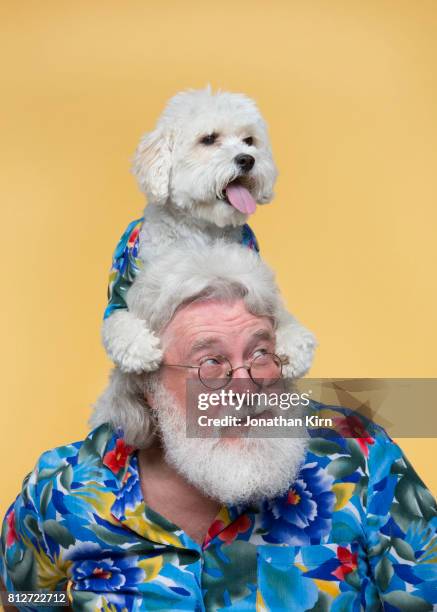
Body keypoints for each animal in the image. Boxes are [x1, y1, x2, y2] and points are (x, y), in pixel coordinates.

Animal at [101, 86, 316, 378]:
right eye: (209, 139)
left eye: (249, 140)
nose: (247, 159)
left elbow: (282, 314)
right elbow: (118, 321)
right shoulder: (122, 295)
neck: (205, 232)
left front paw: (294, 344)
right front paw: (140, 348)